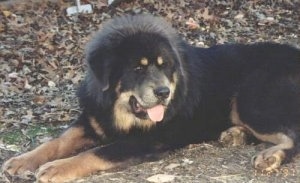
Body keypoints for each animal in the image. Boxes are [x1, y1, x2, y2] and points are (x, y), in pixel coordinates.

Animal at [2, 15, 300, 182]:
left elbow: (96, 152)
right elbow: (57, 141)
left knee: (292, 134)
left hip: (251, 99)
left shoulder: (147, 139)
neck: (118, 109)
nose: (164, 93)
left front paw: (56, 168)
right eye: (138, 68)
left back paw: (271, 156)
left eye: (165, 66)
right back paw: (234, 134)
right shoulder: (92, 121)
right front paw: (22, 161)